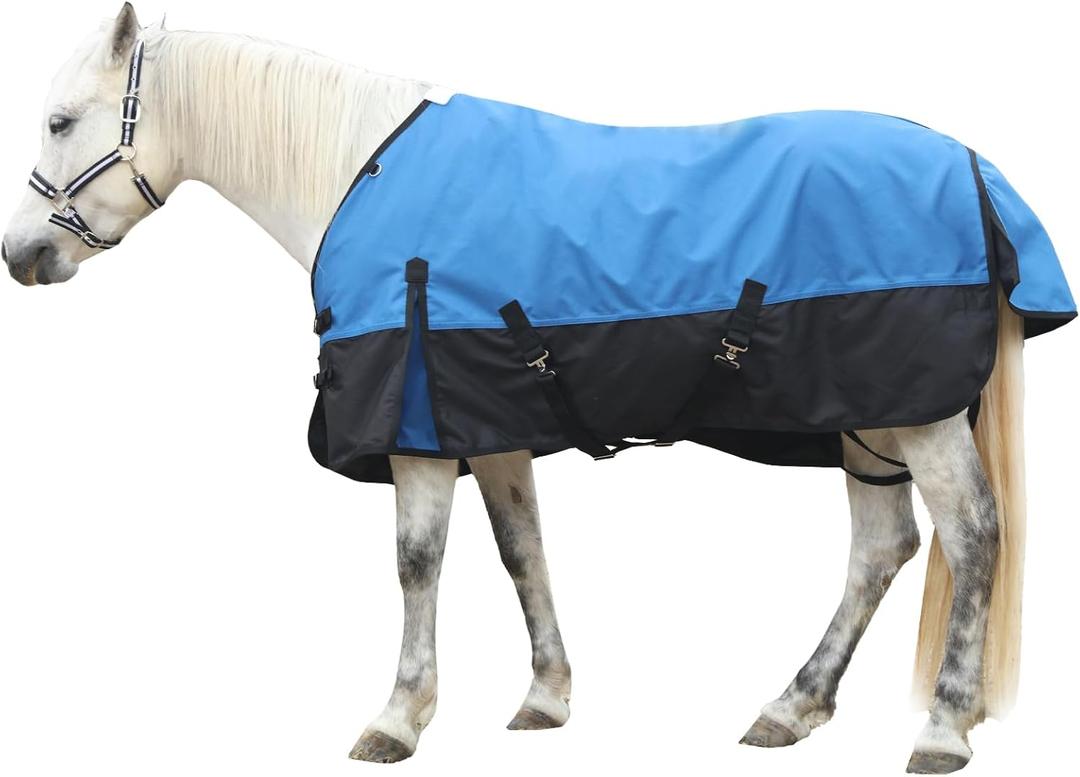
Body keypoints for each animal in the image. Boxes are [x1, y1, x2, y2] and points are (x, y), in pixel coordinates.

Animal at [3, 5, 1072, 772]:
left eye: (59, 121)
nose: (21, 256)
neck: (358, 169)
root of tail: (977, 173)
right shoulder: (489, 421)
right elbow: (521, 550)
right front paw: (546, 697)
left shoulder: (418, 425)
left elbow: (417, 562)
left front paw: (398, 715)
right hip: (865, 419)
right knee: (882, 548)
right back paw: (791, 705)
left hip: (916, 415)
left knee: (973, 535)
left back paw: (940, 730)